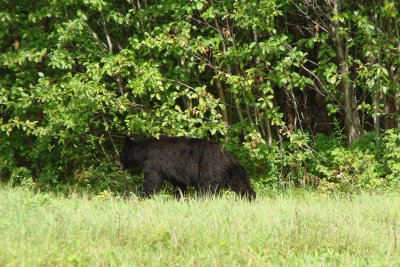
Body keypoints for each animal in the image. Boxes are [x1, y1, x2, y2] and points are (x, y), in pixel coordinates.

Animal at [119, 136, 256, 201]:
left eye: (121, 153)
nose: (117, 163)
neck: (143, 152)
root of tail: (225, 155)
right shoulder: (175, 173)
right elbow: (179, 185)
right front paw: (179, 198)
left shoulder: (153, 163)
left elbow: (151, 183)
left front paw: (130, 197)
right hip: (232, 171)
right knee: (241, 183)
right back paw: (251, 198)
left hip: (208, 168)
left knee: (205, 188)